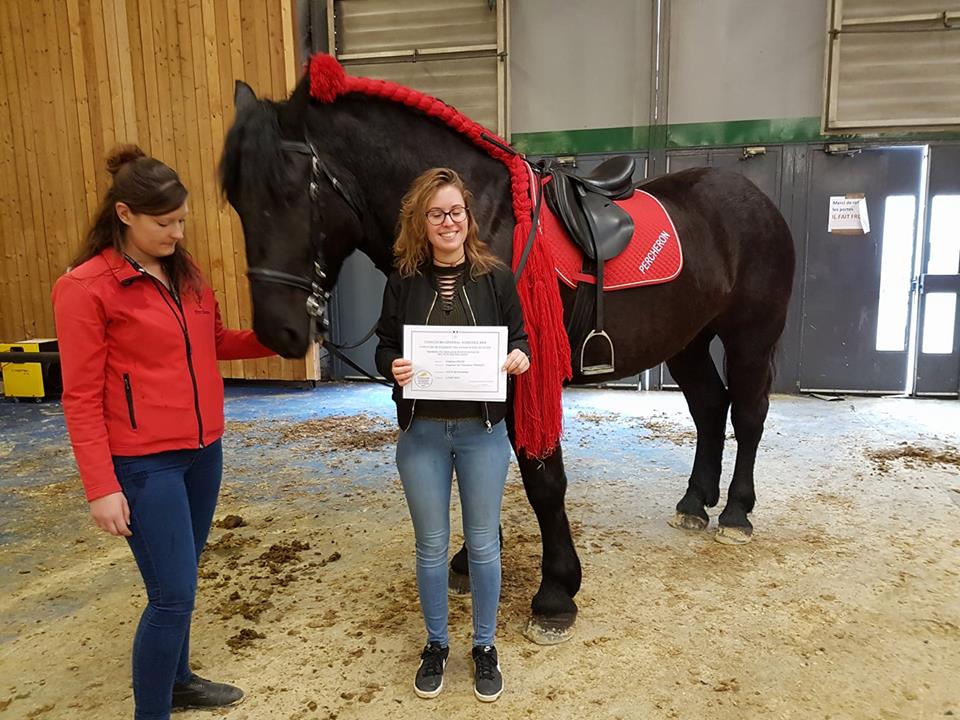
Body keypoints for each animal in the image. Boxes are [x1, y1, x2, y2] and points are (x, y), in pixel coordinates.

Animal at [219, 69, 796, 640]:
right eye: (234, 199)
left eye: (290, 190)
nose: (277, 331)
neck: (486, 221)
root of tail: (755, 198)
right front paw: (467, 562)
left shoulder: (524, 377)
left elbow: (543, 481)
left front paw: (557, 592)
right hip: (687, 341)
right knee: (709, 409)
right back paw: (696, 503)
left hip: (750, 336)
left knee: (747, 415)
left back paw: (736, 513)